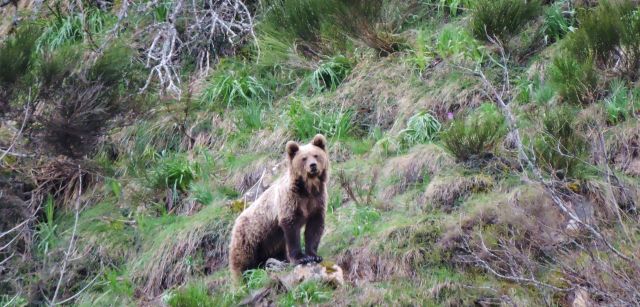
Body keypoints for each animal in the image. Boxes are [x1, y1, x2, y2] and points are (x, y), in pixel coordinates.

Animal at [229, 134, 330, 282]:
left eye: (316, 155)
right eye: (304, 158)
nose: (313, 166)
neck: (307, 189)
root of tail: (236, 221)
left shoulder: (317, 201)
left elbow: (314, 227)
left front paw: (314, 255)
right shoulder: (290, 202)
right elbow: (291, 228)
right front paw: (301, 258)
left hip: (270, 241)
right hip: (250, 236)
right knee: (242, 260)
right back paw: (242, 279)